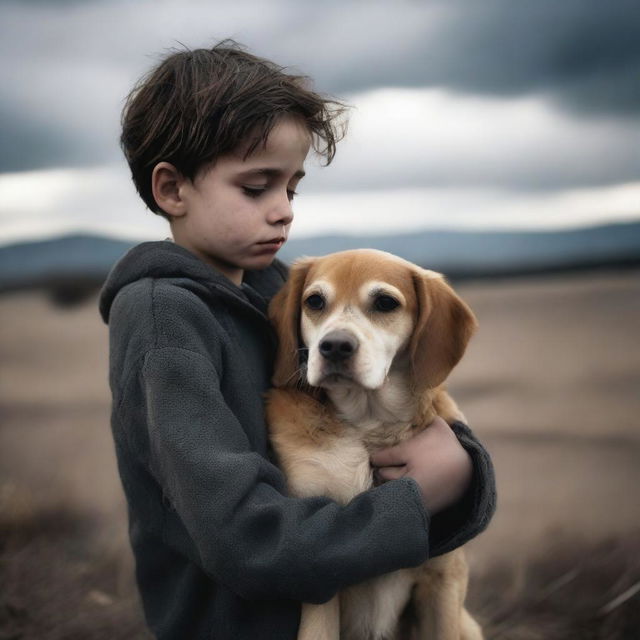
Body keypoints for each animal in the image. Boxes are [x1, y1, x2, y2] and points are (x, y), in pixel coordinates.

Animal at [264, 250, 480, 640]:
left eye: (385, 303)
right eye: (314, 301)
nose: (334, 346)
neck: (369, 425)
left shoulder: (443, 580)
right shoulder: (317, 574)